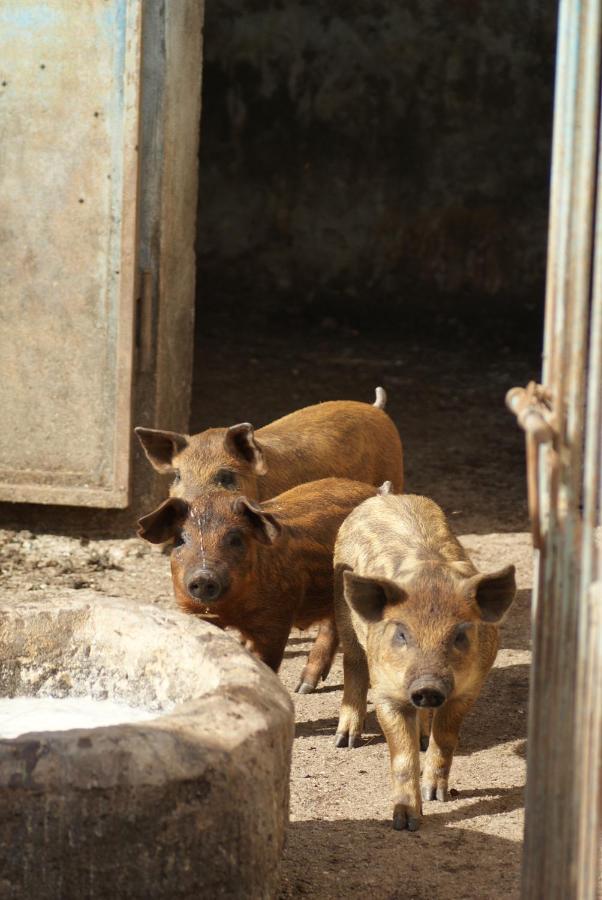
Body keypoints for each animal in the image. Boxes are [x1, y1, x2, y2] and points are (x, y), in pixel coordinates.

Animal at [138, 478, 378, 688]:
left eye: (235, 539)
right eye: (180, 539)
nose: (203, 576)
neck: (231, 610)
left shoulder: (275, 618)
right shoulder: (192, 610)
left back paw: (303, 687)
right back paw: (304, 687)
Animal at [330, 492, 512, 828]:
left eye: (460, 634)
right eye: (402, 633)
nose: (427, 687)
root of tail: (386, 494)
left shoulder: (470, 688)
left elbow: (446, 737)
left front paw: (435, 796)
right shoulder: (386, 691)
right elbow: (402, 756)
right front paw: (405, 823)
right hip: (342, 608)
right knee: (353, 663)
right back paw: (345, 741)